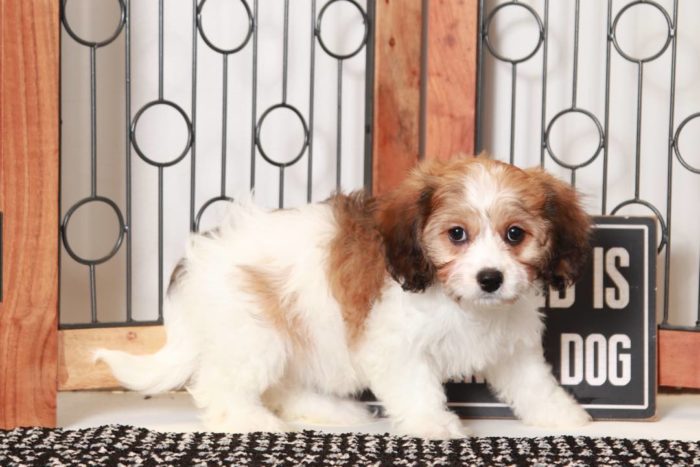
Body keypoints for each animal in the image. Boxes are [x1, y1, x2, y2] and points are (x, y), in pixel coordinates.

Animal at [97, 156, 592, 438]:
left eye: (515, 234)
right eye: (457, 235)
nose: (490, 278)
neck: (459, 302)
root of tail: (198, 258)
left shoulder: (514, 346)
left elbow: (533, 384)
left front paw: (561, 414)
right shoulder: (394, 346)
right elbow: (417, 387)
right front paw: (434, 425)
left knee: (284, 385)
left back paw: (328, 410)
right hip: (255, 334)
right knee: (222, 384)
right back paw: (249, 421)